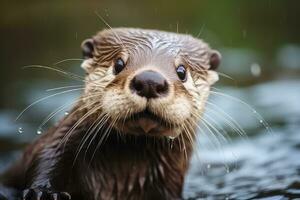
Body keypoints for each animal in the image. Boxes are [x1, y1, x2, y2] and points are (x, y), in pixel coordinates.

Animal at [0, 28, 220, 200]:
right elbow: (48, 156)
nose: (150, 81)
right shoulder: (56, 143)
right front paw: (44, 193)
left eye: (182, 71)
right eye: (119, 64)